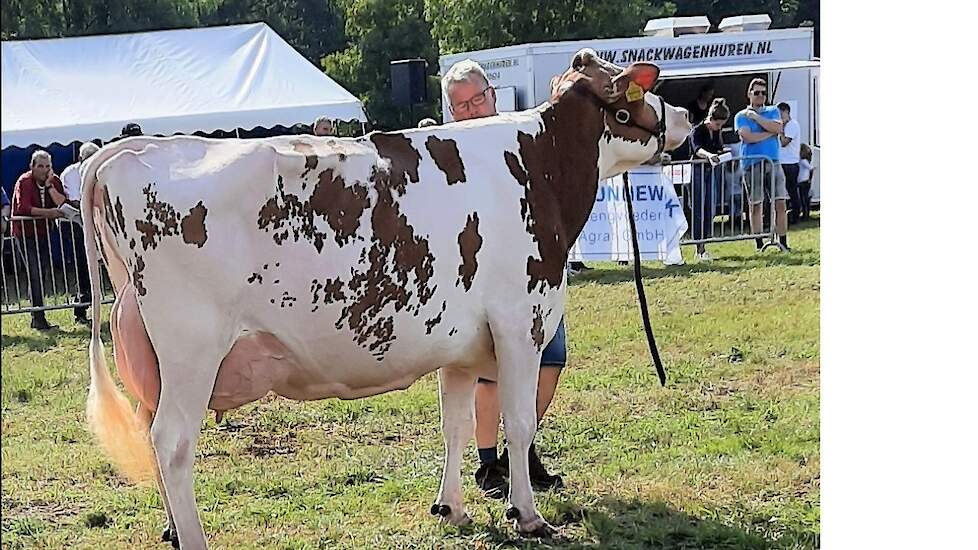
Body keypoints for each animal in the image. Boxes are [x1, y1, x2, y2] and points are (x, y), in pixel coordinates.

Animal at [80, 49, 692, 548]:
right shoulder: (521, 322)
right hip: (191, 348)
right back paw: (194, 538)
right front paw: (528, 514)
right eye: (638, 91)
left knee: (151, 435)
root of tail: (130, 151)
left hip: (149, 359)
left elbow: (457, 424)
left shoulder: (462, 343)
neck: (538, 164)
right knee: (173, 443)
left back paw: (171, 531)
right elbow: (519, 423)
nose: (687, 116)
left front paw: (452, 508)